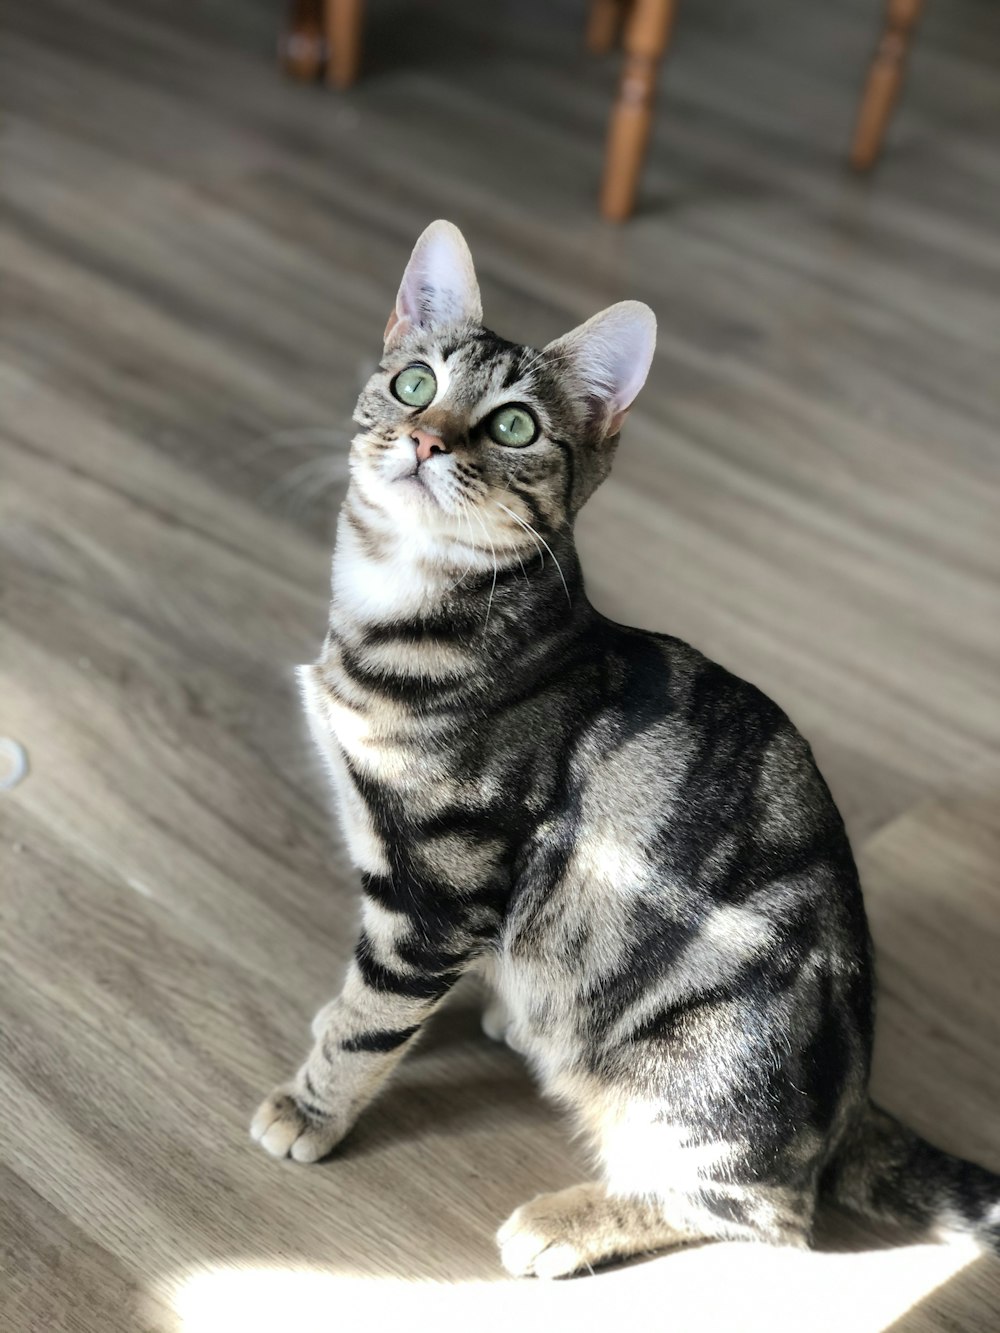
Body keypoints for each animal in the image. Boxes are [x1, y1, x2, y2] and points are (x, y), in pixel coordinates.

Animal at [250, 221, 1000, 1279]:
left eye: (513, 427)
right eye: (413, 383)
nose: (428, 438)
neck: (408, 614)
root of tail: (851, 1108)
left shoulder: (440, 889)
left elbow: (371, 1018)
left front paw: (313, 1105)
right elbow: (369, 995)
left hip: (699, 1083)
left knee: (764, 1213)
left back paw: (564, 1221)